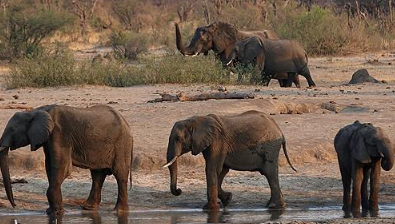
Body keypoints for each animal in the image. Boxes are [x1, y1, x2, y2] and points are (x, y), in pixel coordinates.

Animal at [0, 104, 135, 214]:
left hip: (122, 144)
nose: (15, 205)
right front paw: (53, 211)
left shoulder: (59, 134)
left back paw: (119, 211)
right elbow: (50, 166)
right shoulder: (49, 138)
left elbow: (62, 168)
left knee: (120, 175)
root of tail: (126, 124)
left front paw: (55, 213)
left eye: (12, 130)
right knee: (97, 175)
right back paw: (88, 208)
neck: (35, 111)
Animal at [163, 111, 296, 211]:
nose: (179, 191)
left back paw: (274, 207)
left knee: (270, 172)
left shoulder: (217, 142)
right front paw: (227, 199)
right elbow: (221, 171)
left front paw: (209, 209)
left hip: (270, 147)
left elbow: (212, 169)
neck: (196, 120)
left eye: (178, 138)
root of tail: (280, 130)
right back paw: (275, 205)